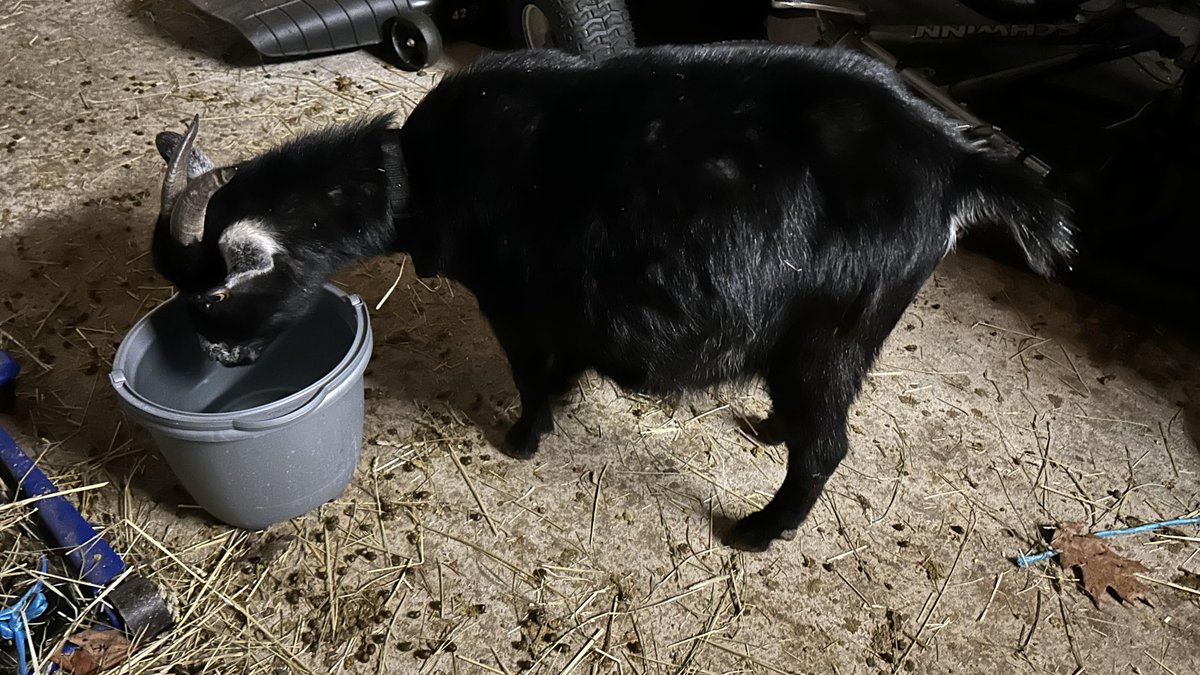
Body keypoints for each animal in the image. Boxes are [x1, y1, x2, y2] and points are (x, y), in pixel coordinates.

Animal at [151, 44, 1074, 551]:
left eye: (213, 296)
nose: (214, 355)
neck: (417, 174)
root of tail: (953, 161)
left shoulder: (520, 303)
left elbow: (535, 376)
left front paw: (523, 439)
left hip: (833, 329)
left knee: (827, 446)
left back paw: (758, 530)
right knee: (809, 419)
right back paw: (768, 425)